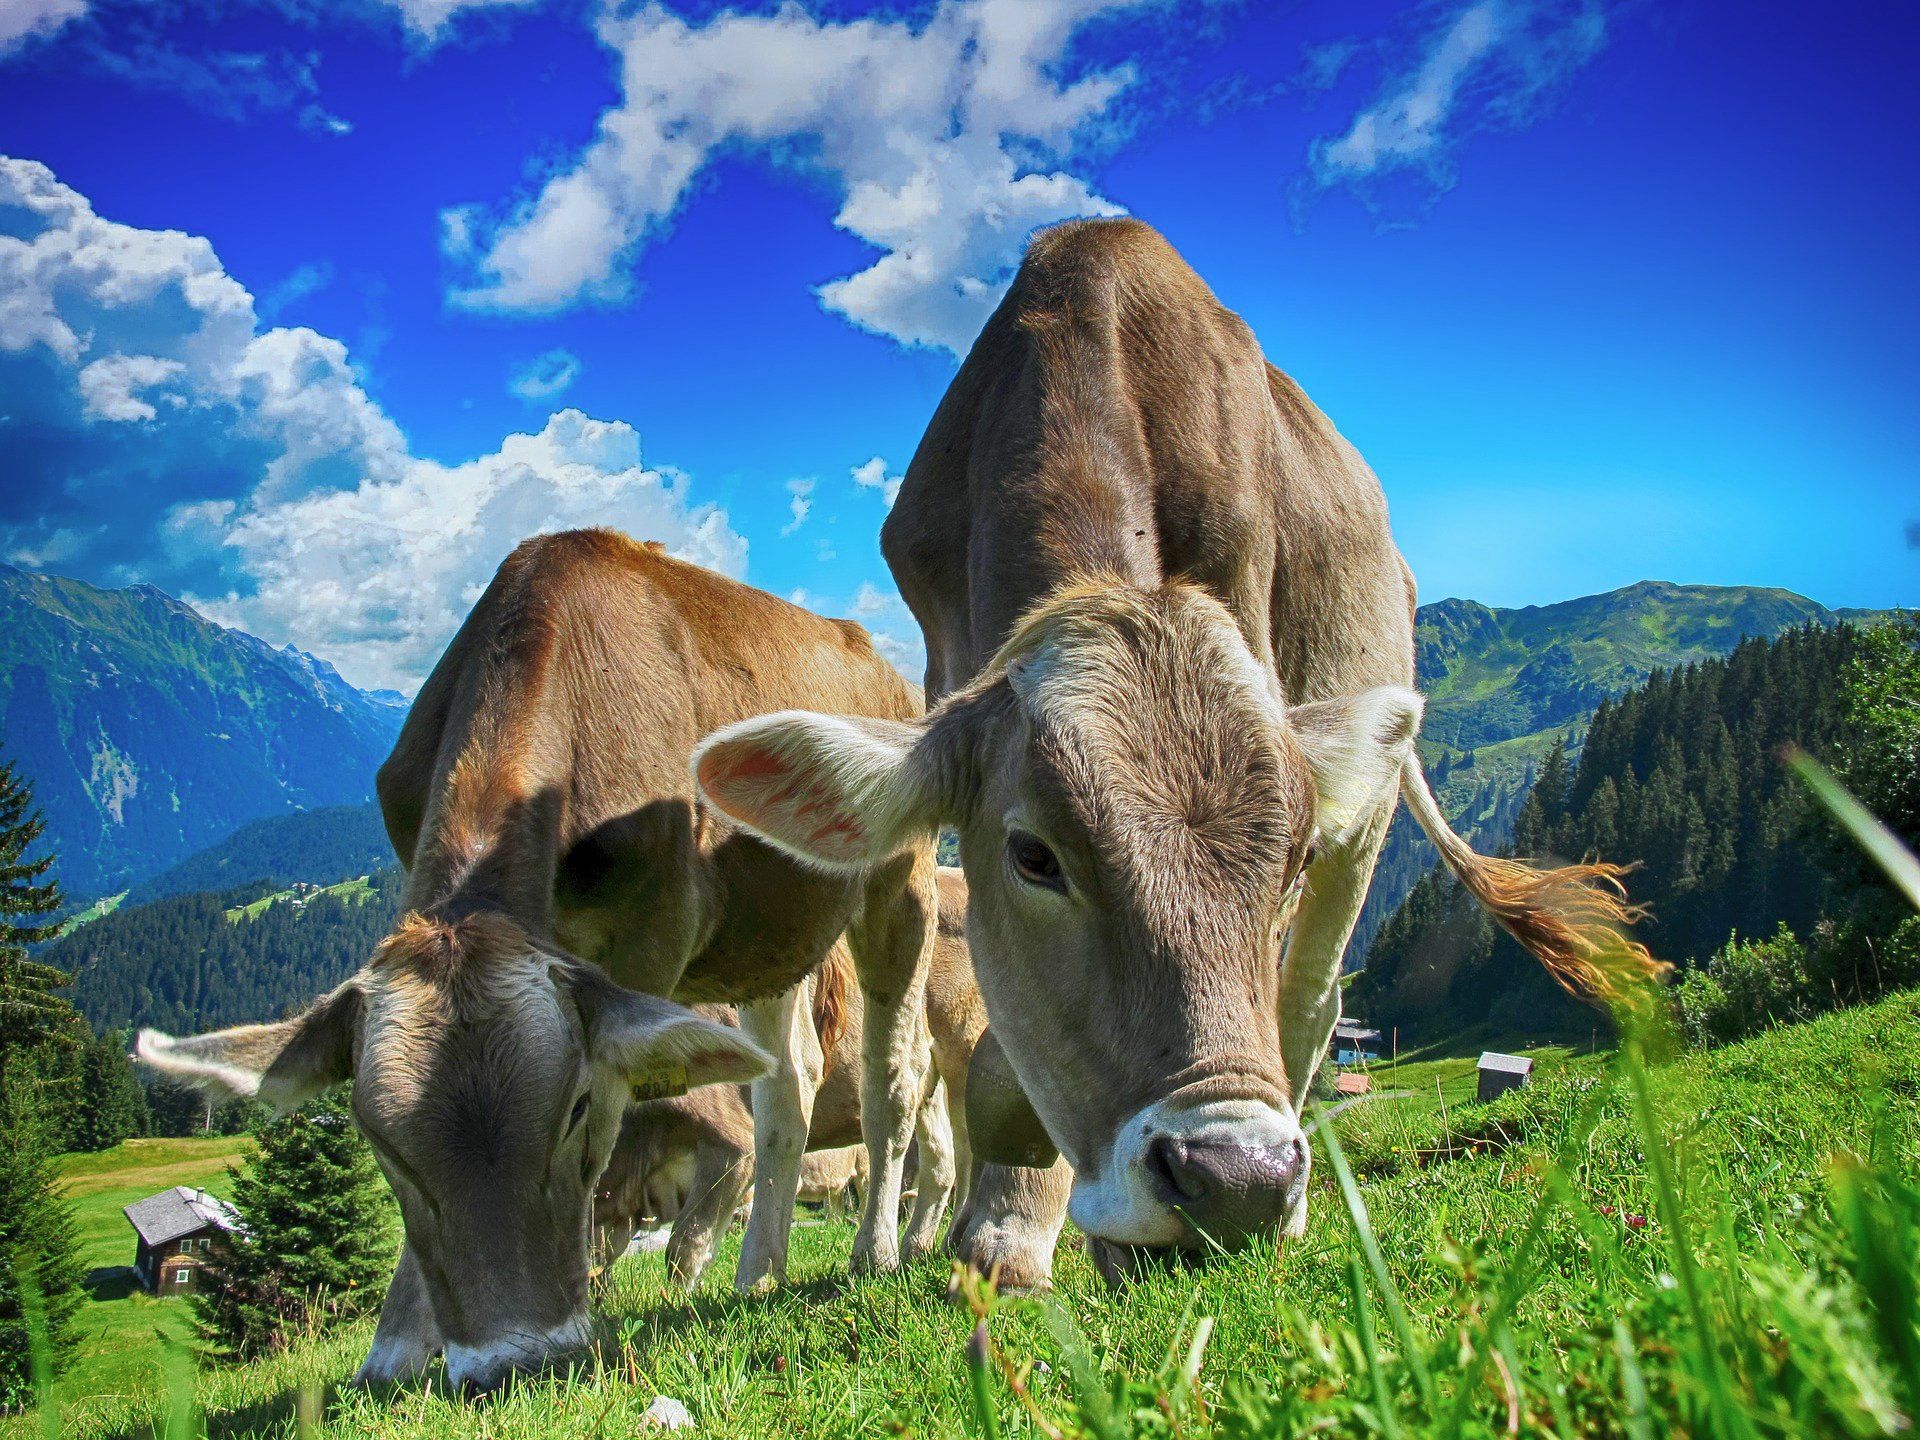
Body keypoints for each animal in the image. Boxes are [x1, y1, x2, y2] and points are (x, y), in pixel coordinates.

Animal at [592, 937, 958, 1287]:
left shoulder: (733, 1145)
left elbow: (686, 1243)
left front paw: (680, 1297)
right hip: (930, 1090)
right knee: (942, 1160)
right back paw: (919, 1247)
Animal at [692, 219, 1660, 1288]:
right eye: (1034, 856)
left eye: (1290, 858)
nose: (1238, 1180)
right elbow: (999, 1051)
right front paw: (1003, 1230)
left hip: (1365, 816)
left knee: (1311, 1001)